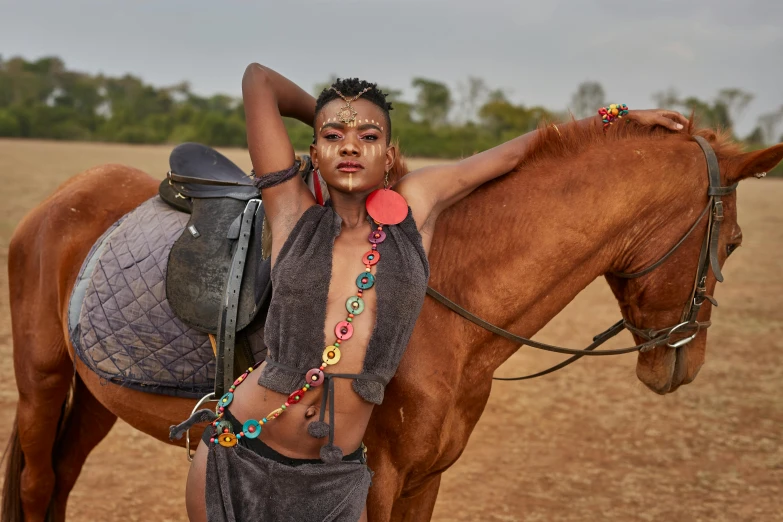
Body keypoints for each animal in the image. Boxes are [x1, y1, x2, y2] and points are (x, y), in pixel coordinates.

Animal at [4, 123, 783, 520]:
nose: (681, 363)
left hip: (97, 396)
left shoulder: (423, 480)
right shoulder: (376, 482)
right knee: (39, 483)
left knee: (62, 478)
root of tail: (64, 199)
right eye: (736, 243)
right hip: (43, 379)